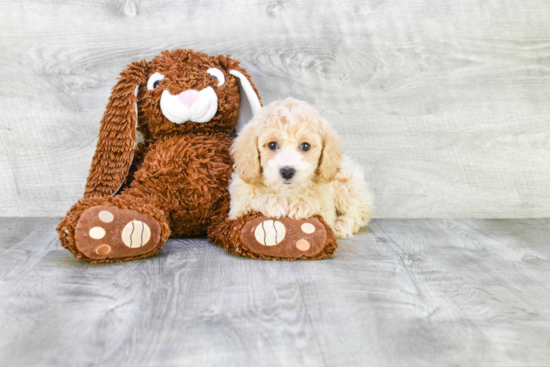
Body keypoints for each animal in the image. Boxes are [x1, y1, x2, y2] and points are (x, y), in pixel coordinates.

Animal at [229, 98, 376, 240]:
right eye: (272, 145)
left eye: (305, 146)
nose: (287, 171)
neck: (287, 191)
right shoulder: (236, 209)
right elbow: (251, 200)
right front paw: (274, 201)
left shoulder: (327, 208)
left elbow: (320, 206)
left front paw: (302, 204)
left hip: (347, 185)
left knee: (358, 211)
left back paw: (341, 225)